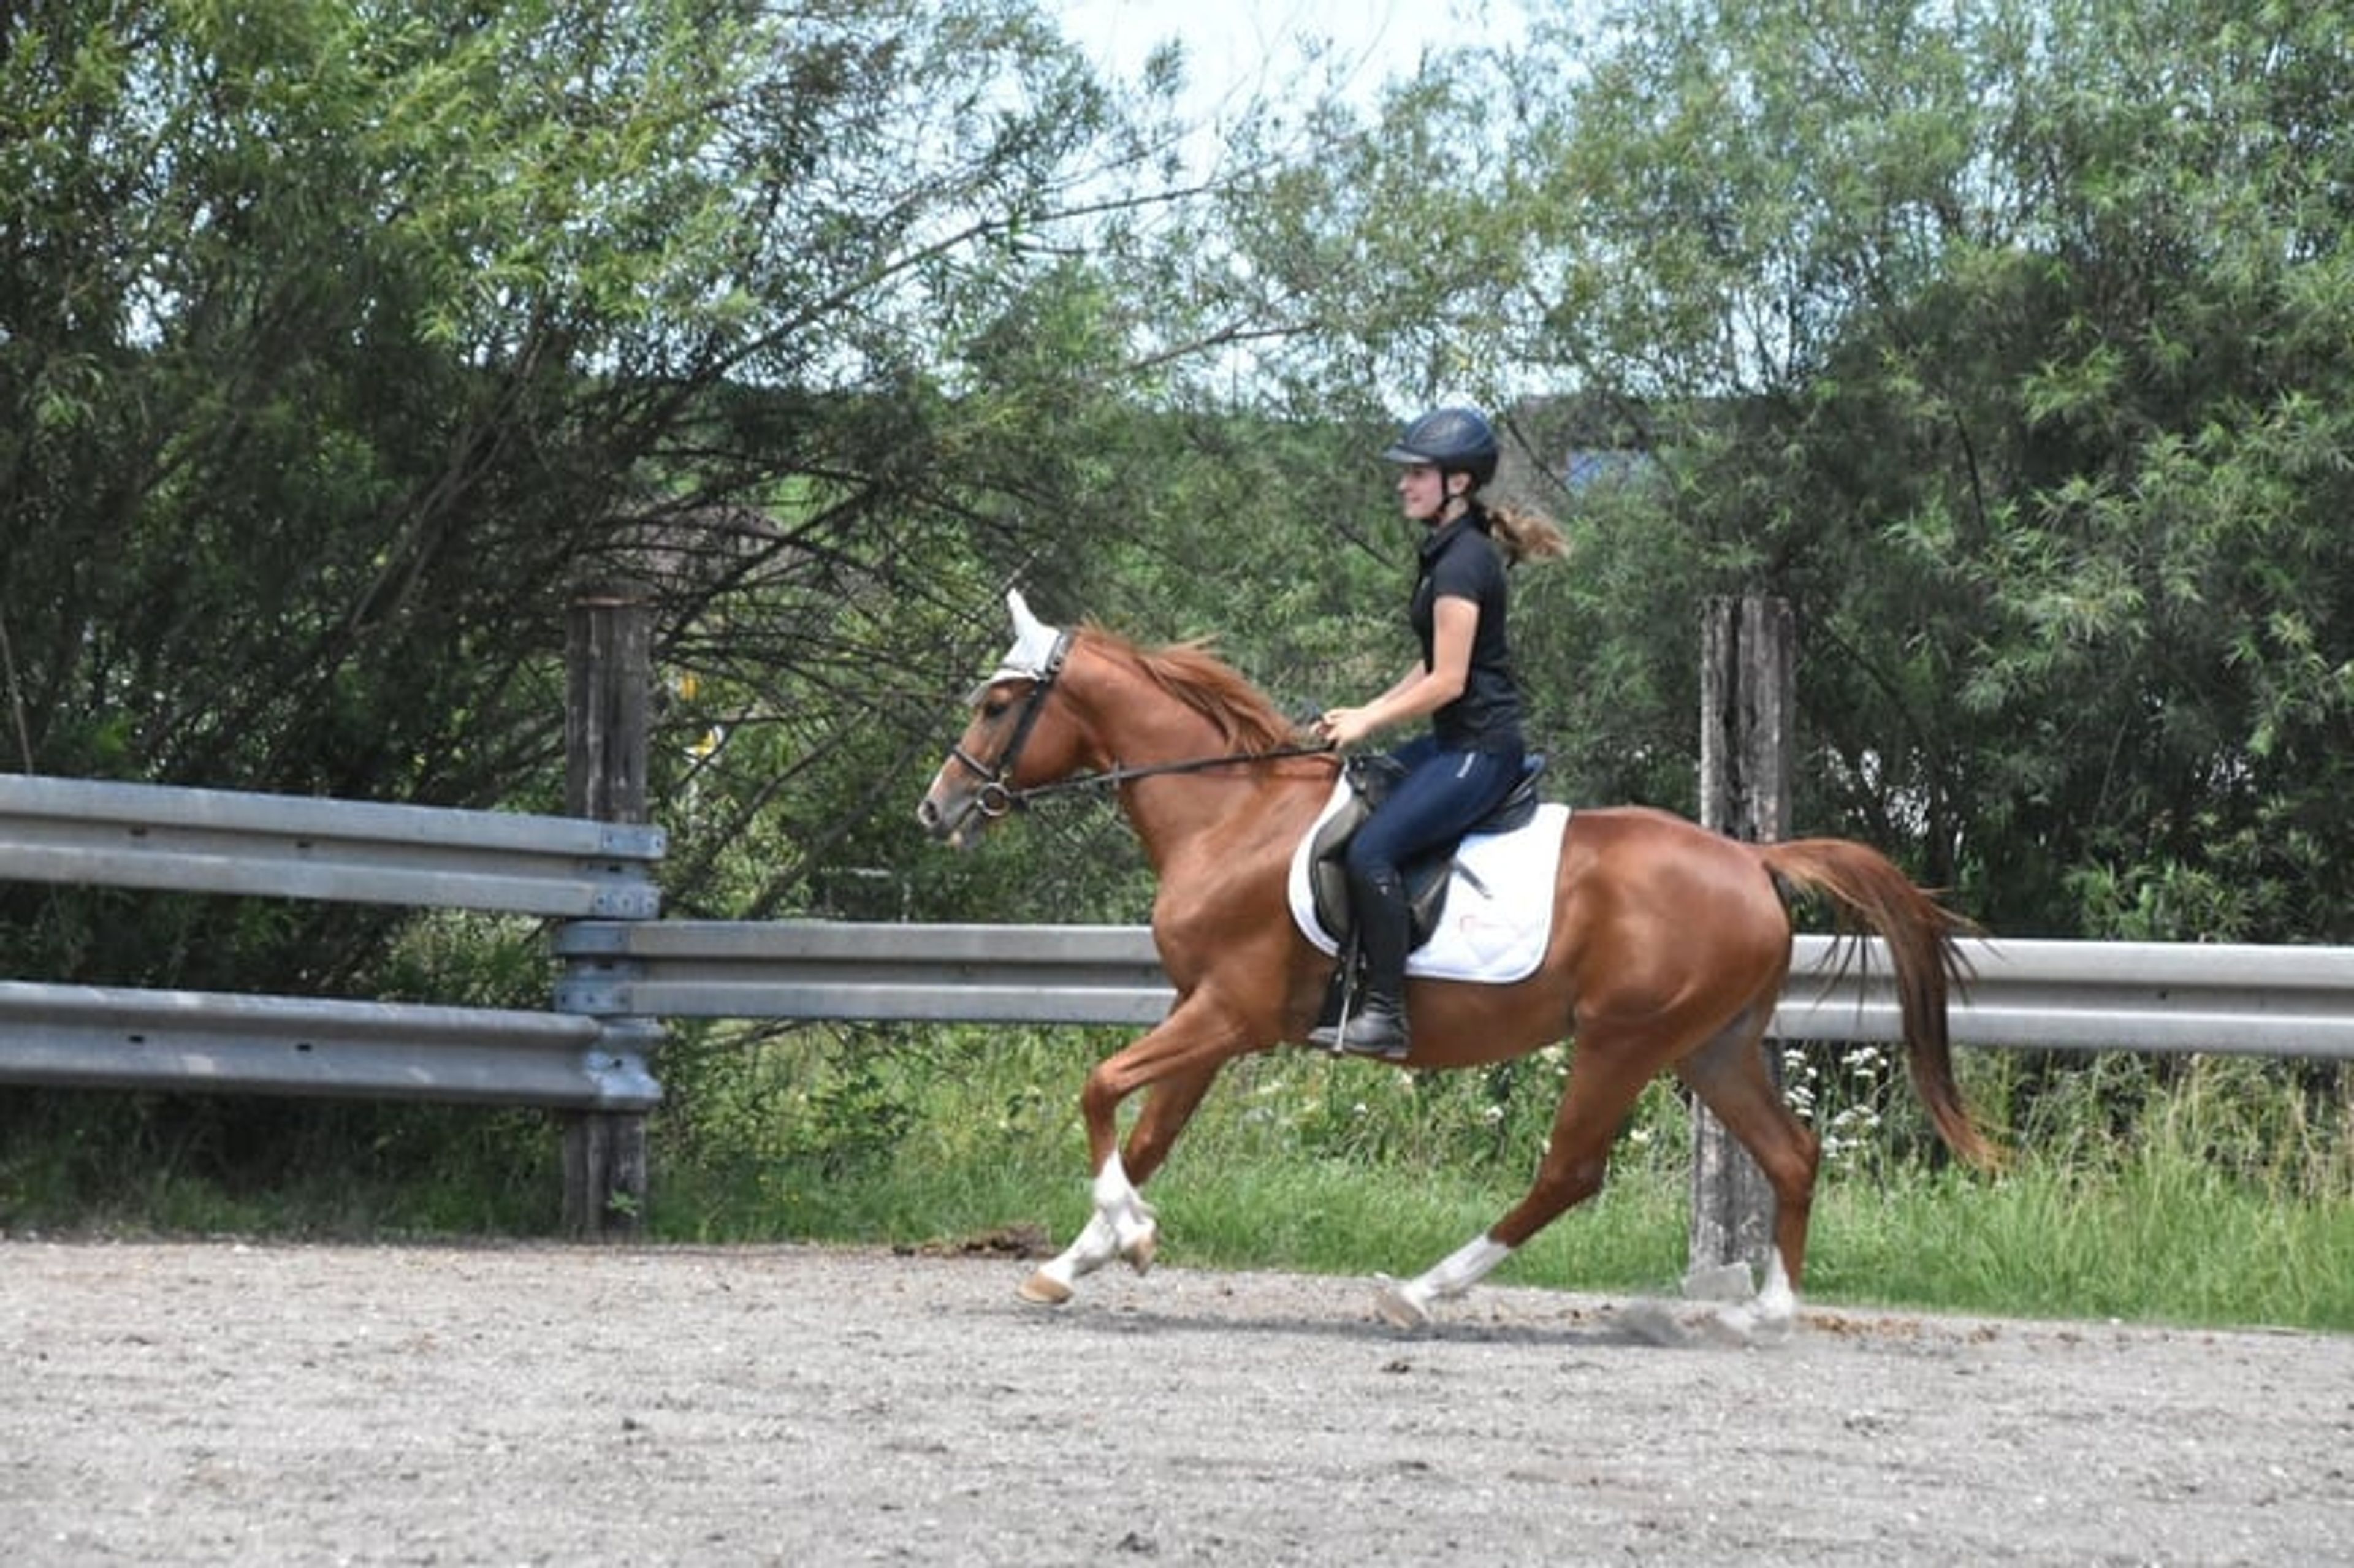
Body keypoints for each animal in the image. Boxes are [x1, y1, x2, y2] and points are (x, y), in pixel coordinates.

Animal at [916, 591, 1997, 1331]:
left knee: (1569, 1172)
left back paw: (1420, 1290)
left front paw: (1128, 1234)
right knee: (1791, 1153)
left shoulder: (1228, 1011)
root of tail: (1754, 858)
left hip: (1623, 1042)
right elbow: (1146, 1136)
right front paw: (1079, 1258)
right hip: (1713, 1046)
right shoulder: (1207, 1017)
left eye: (998, 704)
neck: (1231, 815)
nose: (939, 809)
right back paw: (1766, 1313)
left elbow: (1101, 1087)